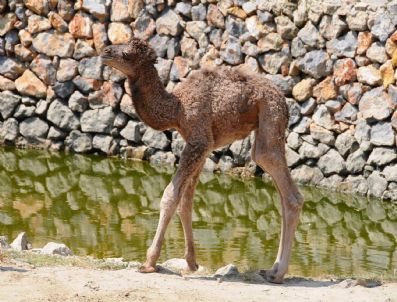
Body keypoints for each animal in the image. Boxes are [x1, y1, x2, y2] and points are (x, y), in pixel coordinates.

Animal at [100, 38, 302, 284]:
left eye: (127, 54)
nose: (105, 52)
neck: (177, 108)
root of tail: (283, 100)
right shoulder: (203, 146)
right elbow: (186, 201)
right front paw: (190, 262)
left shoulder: (198, 140)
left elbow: (170, 196)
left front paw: (148, 263)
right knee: (281, 194)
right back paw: (272, 269)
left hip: (270, 116)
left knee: (273, 168)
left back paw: (278, 273)